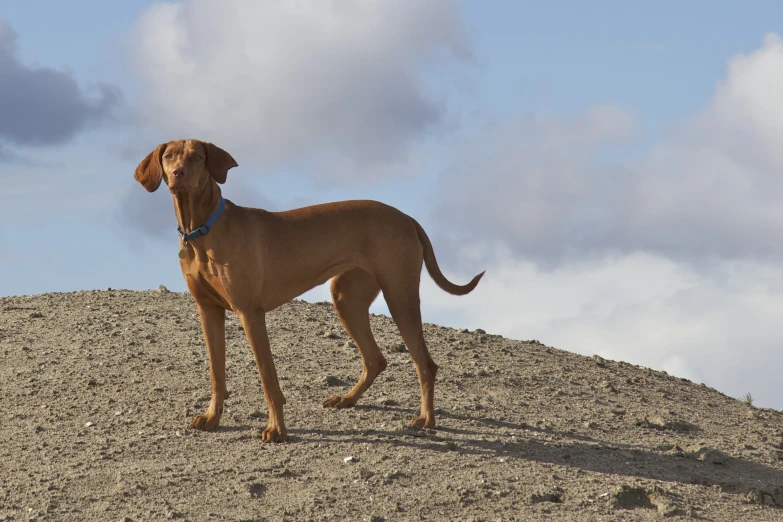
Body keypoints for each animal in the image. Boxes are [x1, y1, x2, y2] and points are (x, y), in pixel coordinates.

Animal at [136, 138, 484, 438]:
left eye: (197, 156)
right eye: (170, 156)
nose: (178, 173)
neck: (204, 230)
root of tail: (408, 218)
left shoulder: (251, 313)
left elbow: (268, 378)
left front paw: (276, 429)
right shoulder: (208, 312)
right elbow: (216, 374)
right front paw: (212, 418)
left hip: (400, 295)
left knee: (424, 363)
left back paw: (427, 418)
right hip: (347, 297)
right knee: (376, 359)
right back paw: (347, 399)